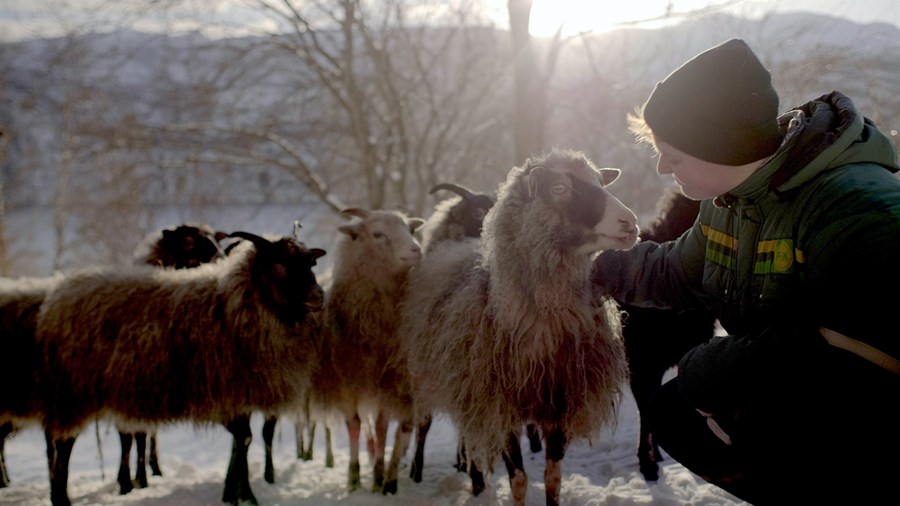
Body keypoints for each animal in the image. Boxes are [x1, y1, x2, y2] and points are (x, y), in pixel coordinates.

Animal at [35, 230, 326, 506]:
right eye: (279, 266)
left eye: (311, 263)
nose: (318, 297)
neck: (232, 304)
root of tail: (55, 300)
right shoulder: (224, 391)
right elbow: (243, 438)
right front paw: (246, 496)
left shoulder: (238, 393)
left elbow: (242, 441)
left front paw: (232, 492)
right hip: (74, 392)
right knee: (62, 443)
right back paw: (62, 497)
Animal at [316, 206, 426, 494]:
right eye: (377, 234)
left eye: (409, 229)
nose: (416, 250)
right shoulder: (347, 384)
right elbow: (355, 425)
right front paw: (354, 479)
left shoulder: (388, 384)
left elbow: (383, 428)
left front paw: (380, 478)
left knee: (399, 429)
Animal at [400, 147, 640, 506]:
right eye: (559, 188)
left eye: (600, 181)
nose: (631, 222)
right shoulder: (499, 407)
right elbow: (520, 480)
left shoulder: (559, 404)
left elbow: (553, 478)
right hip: (431, 376)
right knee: (425, 425)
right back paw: (420, 473)